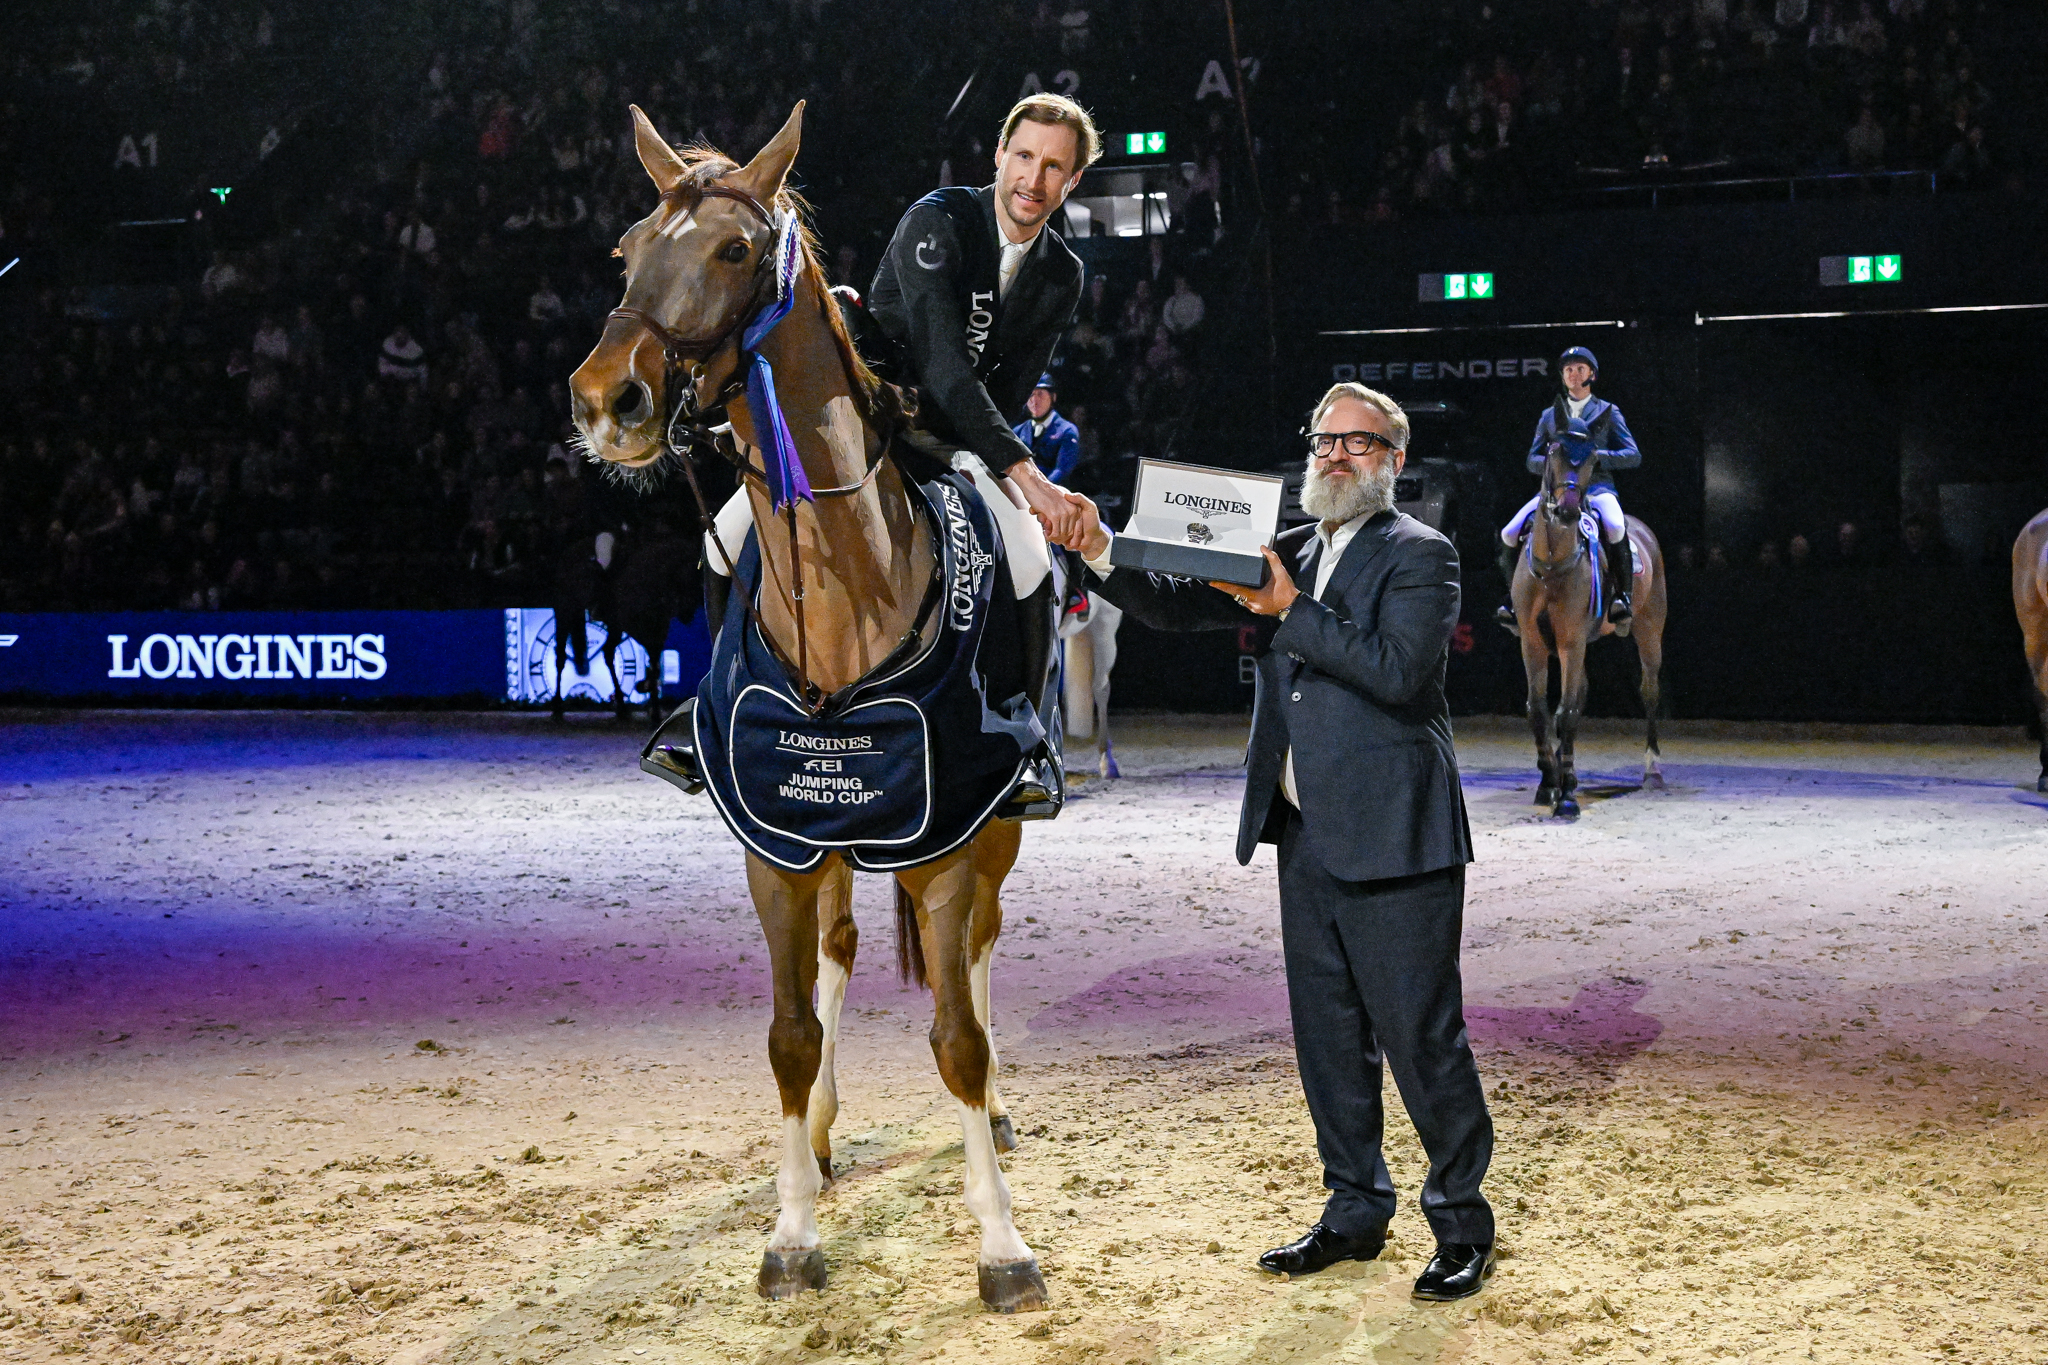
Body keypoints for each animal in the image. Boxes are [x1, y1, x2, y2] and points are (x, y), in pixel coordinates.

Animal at [569, 104, 1048, 1309]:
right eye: (626, 251)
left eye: (735, 251)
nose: (606, 400)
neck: (846, 596)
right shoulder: (776, 844)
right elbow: (789, 1033)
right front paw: (789, 1232)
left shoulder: (951, 843)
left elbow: (958, 1038)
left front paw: (1001, 1244)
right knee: (836, 951)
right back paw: (824, 1134)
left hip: (997, 832)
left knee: (979, 957)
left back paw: (994, 1115)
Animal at [1515, 444, 1671, 818]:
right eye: (1551, 457)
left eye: (1591, 461)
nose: (1568, 510)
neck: (1551, 566)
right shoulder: (1534, 644)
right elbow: (1539, 711)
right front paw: (1549, 782)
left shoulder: (1571, 643)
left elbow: (1568, 711)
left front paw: (1567, 794)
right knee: (1579, 694)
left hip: (1649, 630)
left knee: (1649, 691)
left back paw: (1652, 771)